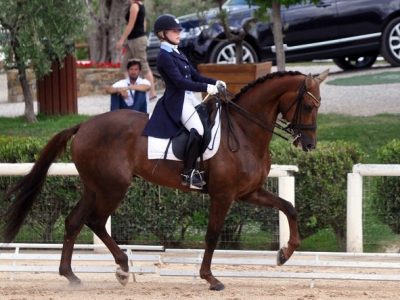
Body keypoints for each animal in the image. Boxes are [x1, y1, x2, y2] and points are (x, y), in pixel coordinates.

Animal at [2, 69, 328, 290]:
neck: (245, 131)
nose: (309, 144)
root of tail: (83, 126)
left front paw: (285, 254)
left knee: (74, 221)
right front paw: (210, 278)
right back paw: (120, 268)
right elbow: (212, 235)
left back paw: (73, 275)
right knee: (94, 221)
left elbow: (289, 207)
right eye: (309, 106)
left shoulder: (250, 192)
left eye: (319, 105)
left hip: (95, 186)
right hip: (113, 187)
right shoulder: (223, 195)